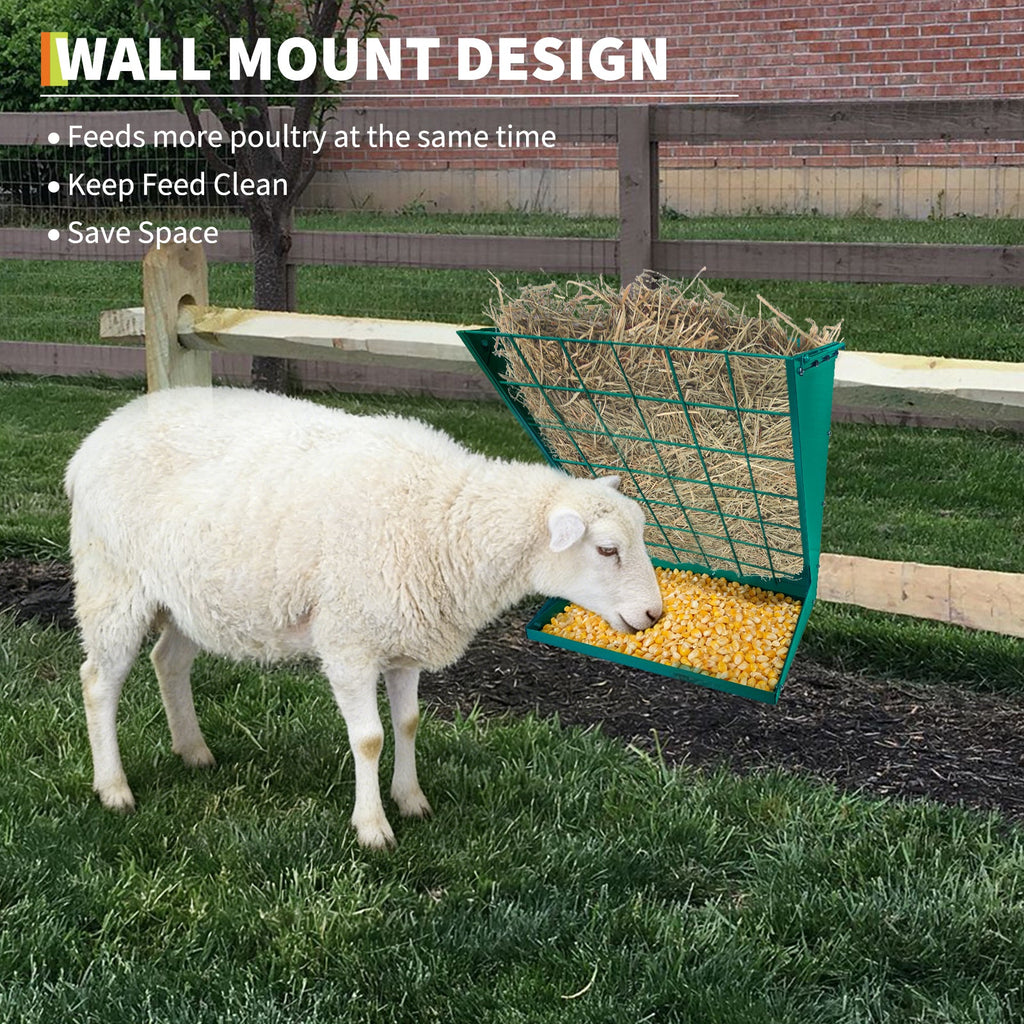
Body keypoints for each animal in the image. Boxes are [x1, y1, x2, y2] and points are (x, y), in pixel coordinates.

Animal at [65, 386, 663, 848]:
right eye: (607, 550)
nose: (653, 614)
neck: (444, 520)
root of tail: (100, 434)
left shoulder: (404, 637)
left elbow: (409, 722)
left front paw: (412, 799)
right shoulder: (349, 639)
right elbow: (370, 738)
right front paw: (373, 827)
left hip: (189, 597)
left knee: (168, 660)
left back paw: (193, 752)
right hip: (111, 580)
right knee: (99, 681)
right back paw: (113, 787)